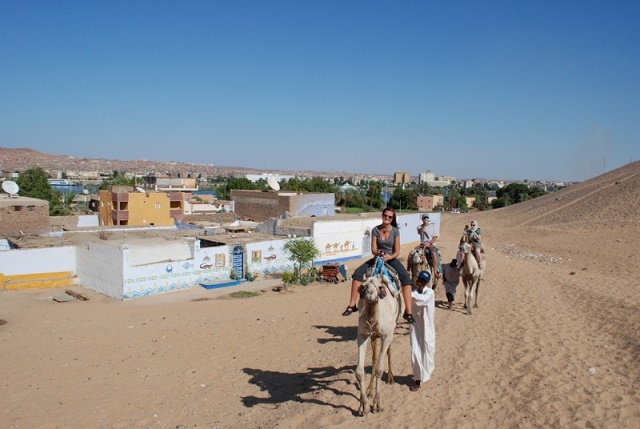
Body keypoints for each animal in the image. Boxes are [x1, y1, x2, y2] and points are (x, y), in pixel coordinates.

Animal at [356, 270, 400, 414]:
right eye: (362, 286)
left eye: (380, 287)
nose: (369, 292)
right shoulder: (362, 335)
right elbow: (359, 371)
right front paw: (363, 405)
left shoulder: (387, 334)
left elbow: (380, 370)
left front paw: (376, 404)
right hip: (374, 337)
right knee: (374, 358)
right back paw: (370, 390)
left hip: (392, 328)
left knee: (389, 350)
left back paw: (391, 378)